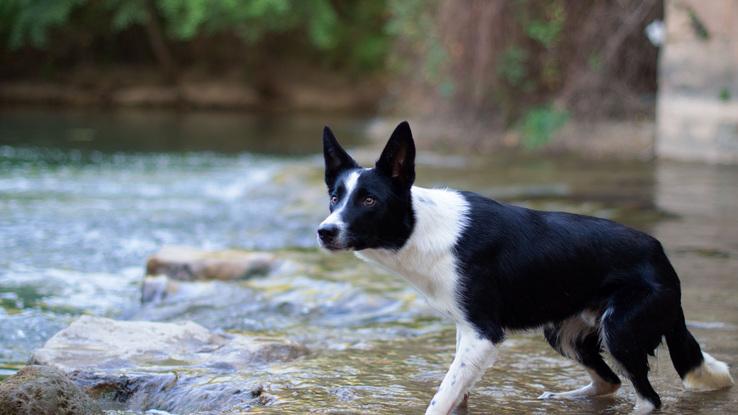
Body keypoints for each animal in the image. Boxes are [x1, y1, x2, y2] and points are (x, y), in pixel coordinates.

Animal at [314, 122, 732, 414]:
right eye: (334, 197)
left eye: (369, 200)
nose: (325, 231)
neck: (422, 228)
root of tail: (661, 256)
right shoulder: (467, 330)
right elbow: (457, 393)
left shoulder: (483, 334)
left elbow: (441, 397)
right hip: (562, 333)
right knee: (609, 382)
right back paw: (563, 398)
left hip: (619, 330)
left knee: (647, 399)